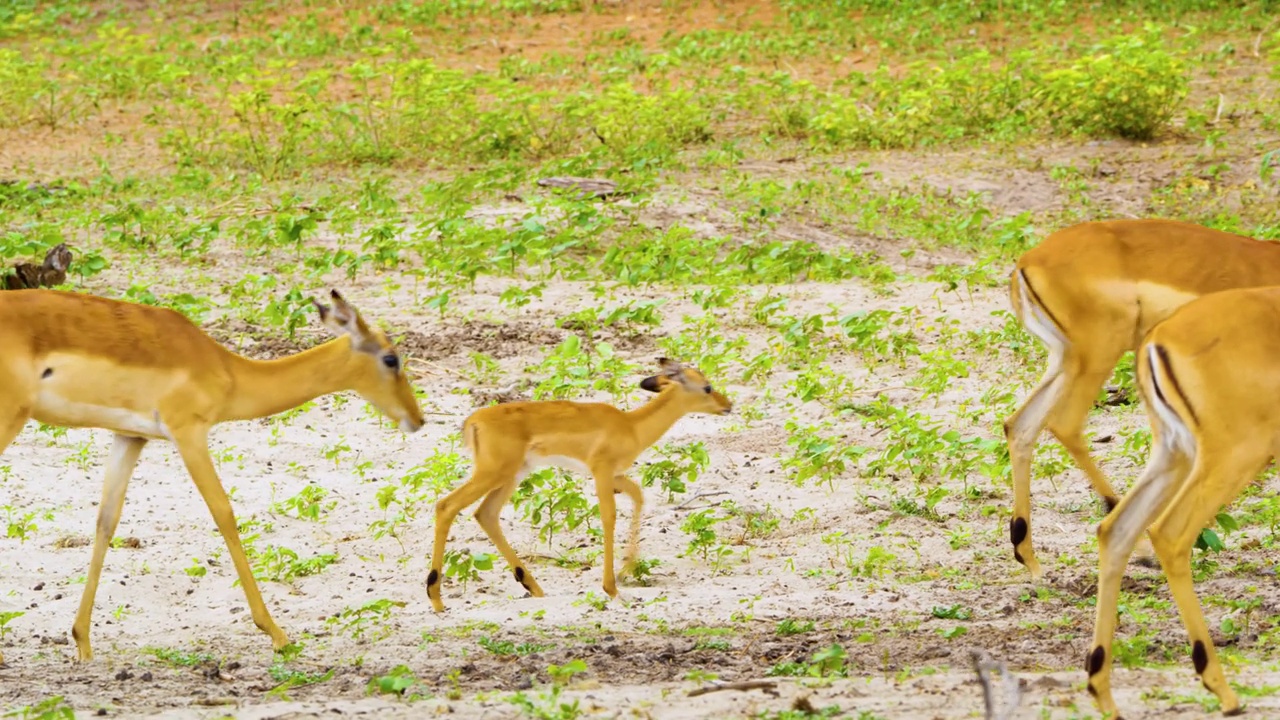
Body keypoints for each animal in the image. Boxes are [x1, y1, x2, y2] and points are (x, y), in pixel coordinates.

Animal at [427, 356, 732, 607]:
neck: (632, 426)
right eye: (707, 387)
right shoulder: (602, 471)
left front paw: (626, 570)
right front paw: (612, 588)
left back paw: (533, 587)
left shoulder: (616, 476)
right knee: (446, 505)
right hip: (492, 474)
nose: (728, 405)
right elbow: (609, 516)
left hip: (511, 476)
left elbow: (638, 496)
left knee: (485, 514)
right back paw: (436, 598)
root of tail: (473, 421)